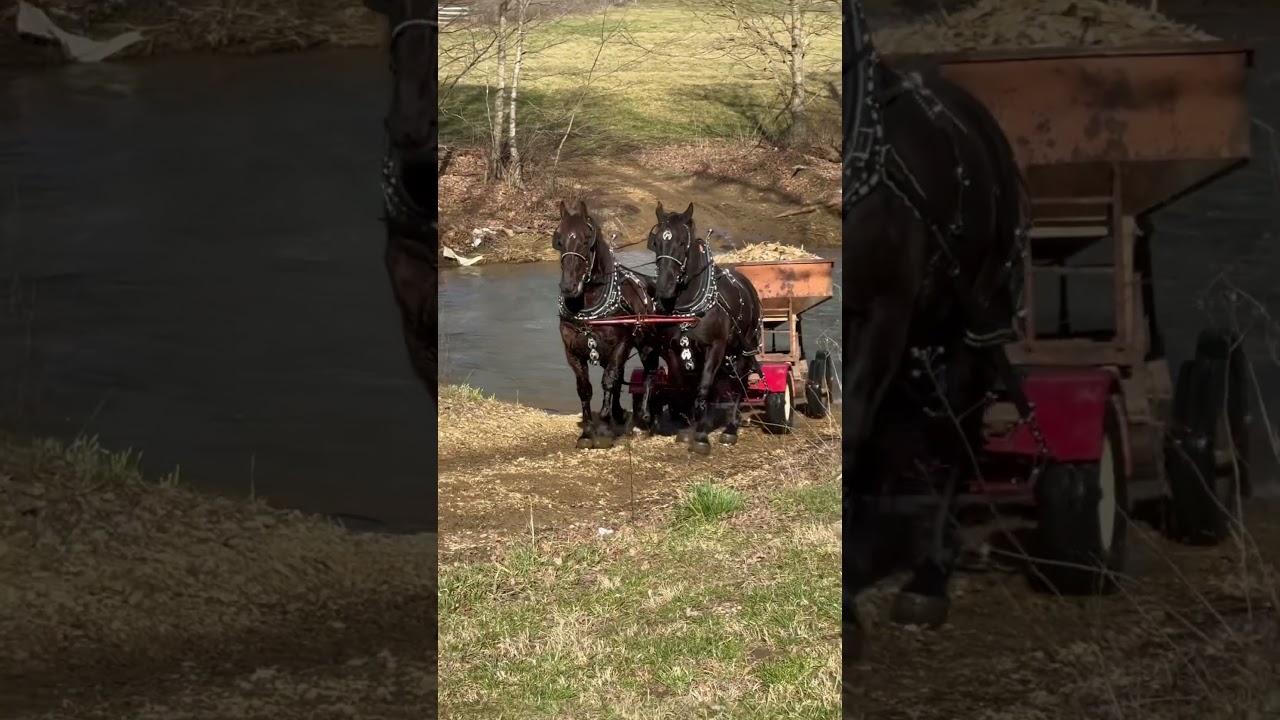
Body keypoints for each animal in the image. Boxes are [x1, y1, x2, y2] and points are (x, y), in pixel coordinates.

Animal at [555, 200, 663, 448]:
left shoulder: (621, 344)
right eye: (559, 239)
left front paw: (604, 426)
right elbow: (585, 388)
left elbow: (608, 381)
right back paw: (619, 412)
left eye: (587, 240)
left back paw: (644, 418)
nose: (568, 287)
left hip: (647, 345)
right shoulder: (572, 351)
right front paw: (587, 431)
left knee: (648, 372)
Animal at [647, 202, 764, 455]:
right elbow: (683, 388)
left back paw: (731, 428)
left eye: (683, 243)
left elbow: (704, 388)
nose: (664, 288)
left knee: (739, 383)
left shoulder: (715, 348)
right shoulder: (672, 350)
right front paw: (687, 429)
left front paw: (701, 437)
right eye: (656, 242)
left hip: (743, 349)